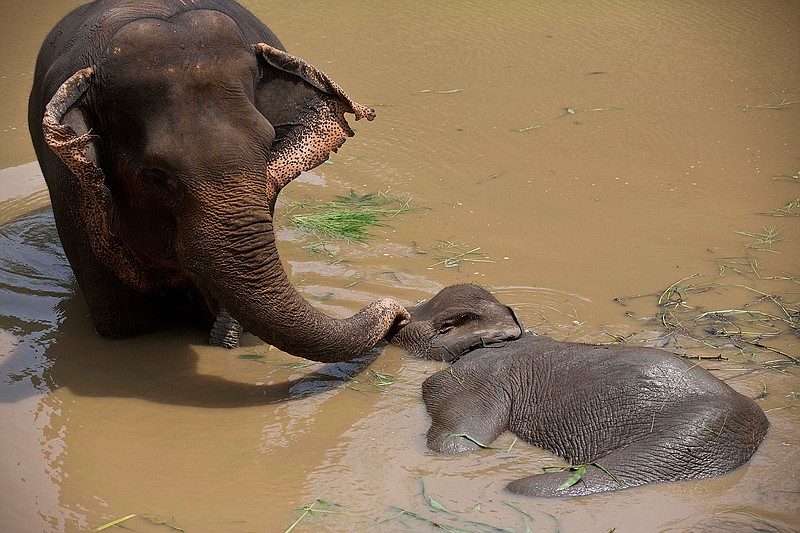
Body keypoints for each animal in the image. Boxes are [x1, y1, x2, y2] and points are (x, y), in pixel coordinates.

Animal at [390, 284, 772, 496]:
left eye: (408, 324)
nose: (397, 318)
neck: (508, 337)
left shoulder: (480, 375)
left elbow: (459, 442)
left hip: (684, 436)